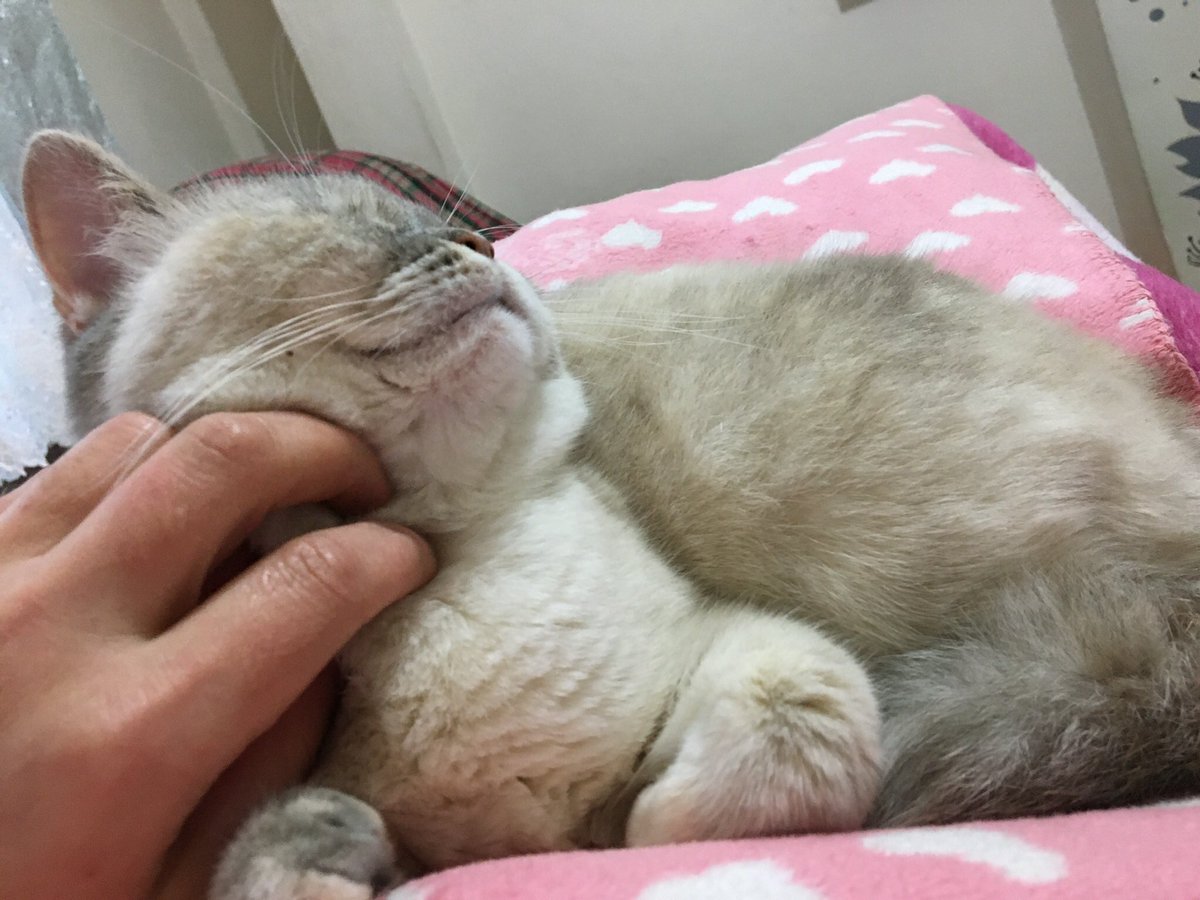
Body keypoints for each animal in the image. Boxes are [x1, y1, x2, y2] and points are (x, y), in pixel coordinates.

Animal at [21, 130, 1200, 896]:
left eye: (452, 230)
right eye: (365, 222)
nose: (489, 251)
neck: (458, 556)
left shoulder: (745, 653)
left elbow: (724, 787)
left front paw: (625, 839)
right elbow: (296, 862)